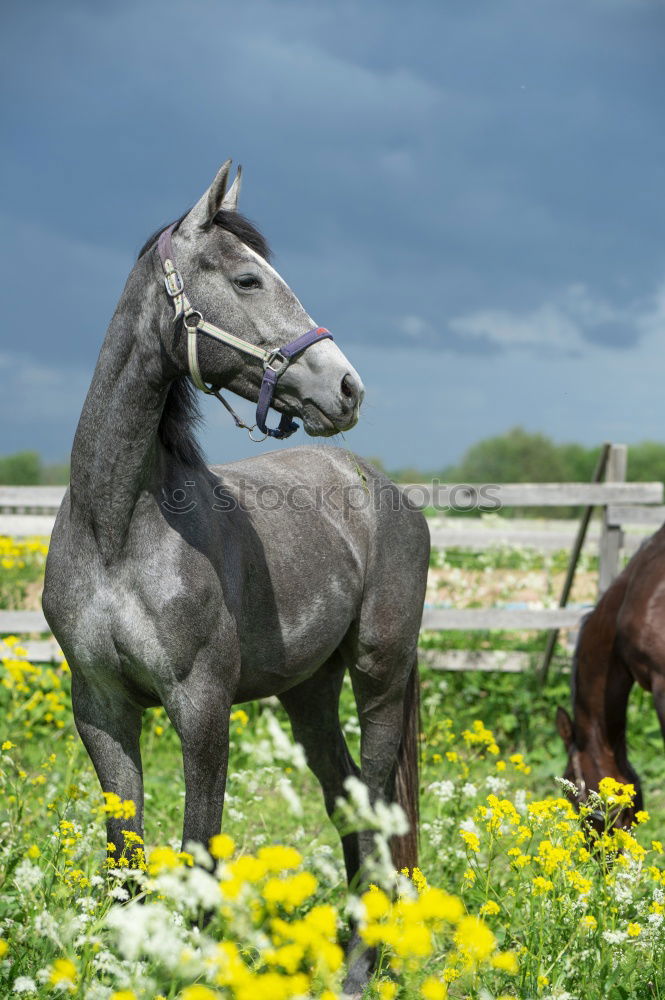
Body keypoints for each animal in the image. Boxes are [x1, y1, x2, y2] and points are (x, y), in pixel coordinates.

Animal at [44, 162, 428, 992]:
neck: (117, 531)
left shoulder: (202, 707)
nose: (345, 387)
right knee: (346, 802)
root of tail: (383, 490)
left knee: (376, 810)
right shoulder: (101, 709)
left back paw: (359, 969)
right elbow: (125, 860)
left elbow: (199, 855)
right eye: (248, 279)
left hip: (380, 677)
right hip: (308, 693)